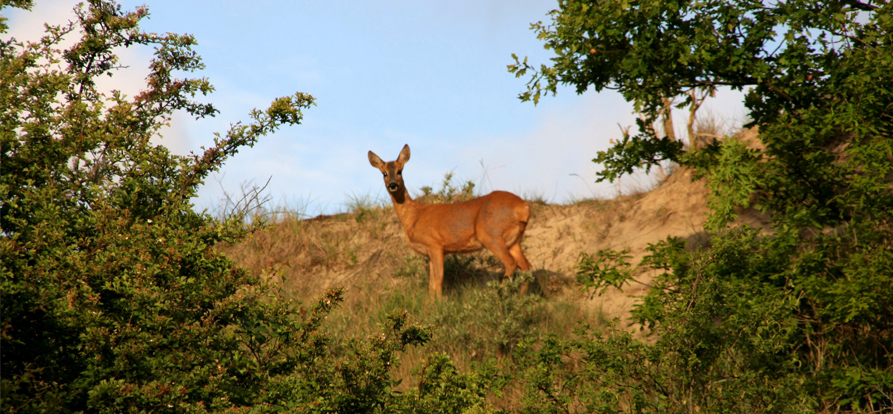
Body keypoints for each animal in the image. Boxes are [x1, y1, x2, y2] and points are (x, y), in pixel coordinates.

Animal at [370, 145, 528, 298]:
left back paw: (498, 297)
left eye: (400, 171)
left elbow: (438, 279)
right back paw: (521, 298)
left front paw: (439, 303)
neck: (414, 216)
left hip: (492, 234)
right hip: (514, 240)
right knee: (526, 267)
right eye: (384, 173)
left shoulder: (435, 244)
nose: (393, 185)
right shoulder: (430, 253)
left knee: (511, 263)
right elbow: (431, 283)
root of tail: (523, 206)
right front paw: (431, 303)